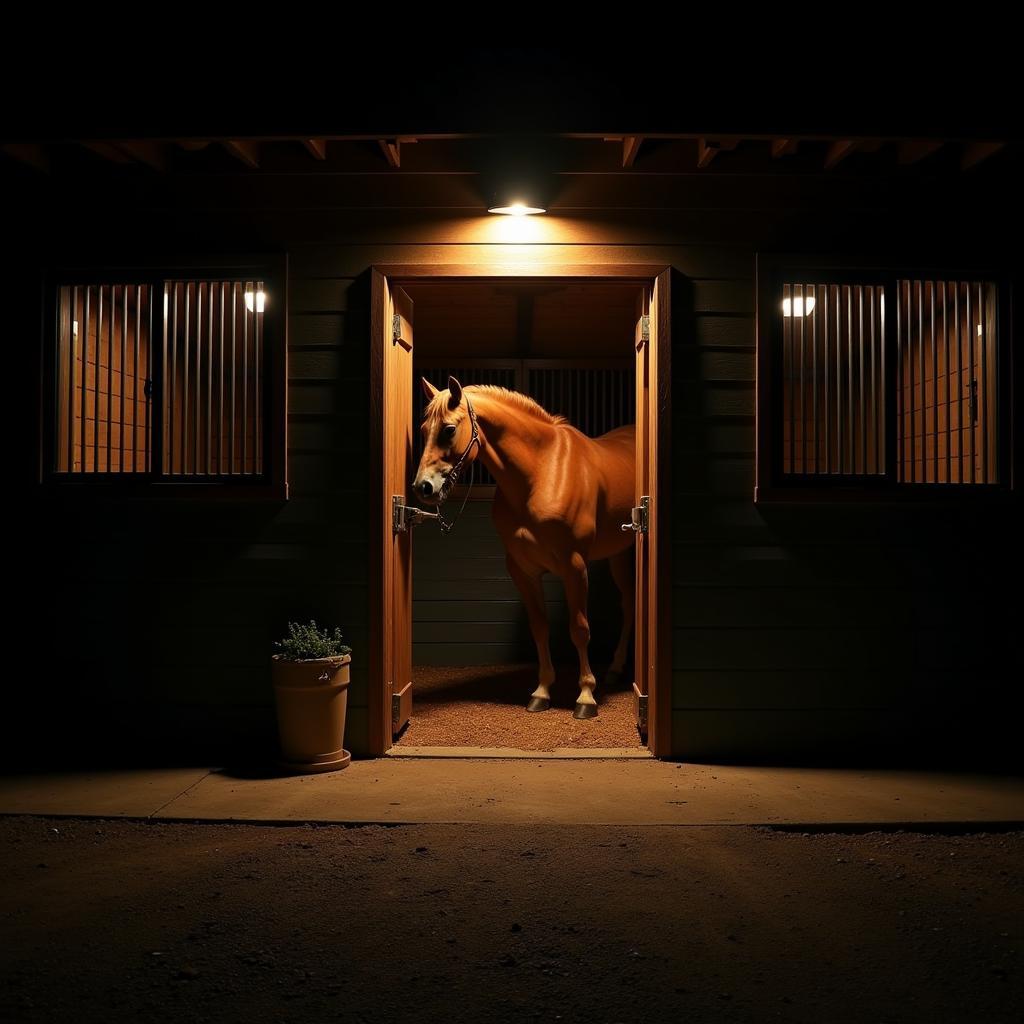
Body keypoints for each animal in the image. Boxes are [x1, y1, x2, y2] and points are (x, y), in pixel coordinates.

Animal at [411, 376, 634, 720]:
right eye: (423, 430)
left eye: (448, 429)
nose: (423, 488)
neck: (542, 472)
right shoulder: (522, 570)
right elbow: (539, 627)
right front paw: (541, 692)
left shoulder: (574, 565)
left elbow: (579, 628)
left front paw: (585, 696)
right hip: (619, 553)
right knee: (629, 605)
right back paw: (616, 668)